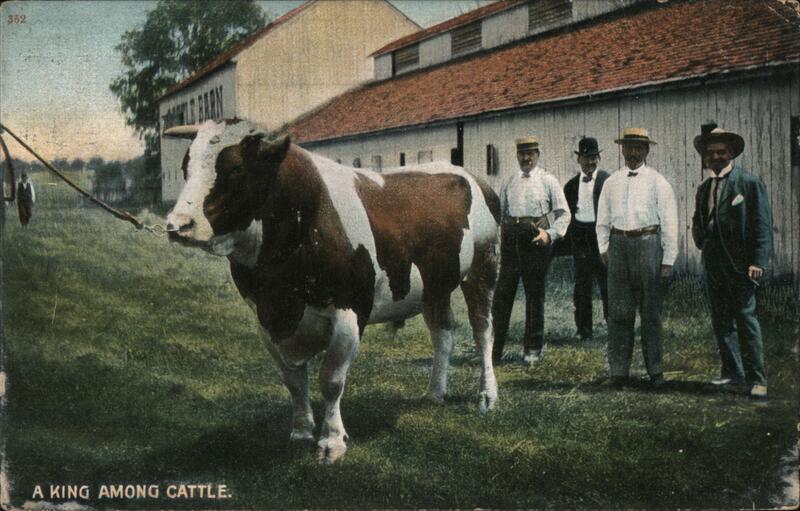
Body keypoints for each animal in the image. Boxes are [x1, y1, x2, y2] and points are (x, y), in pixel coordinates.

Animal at [164, 119, 500, 463]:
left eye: (235, 168)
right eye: (186, 166)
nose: (178, 224)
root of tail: (467, 173)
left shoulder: (348, 311)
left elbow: (331, 380)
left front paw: (332, 441)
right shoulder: (266, 319)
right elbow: (293, 381)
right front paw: (300, 432)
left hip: (484, 266)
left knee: (483, 332)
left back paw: (487, 396)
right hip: (435, 286)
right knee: (443, 334)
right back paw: (434, 393)